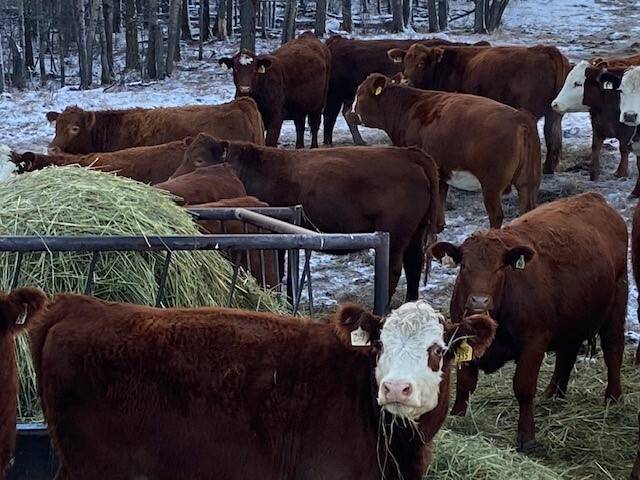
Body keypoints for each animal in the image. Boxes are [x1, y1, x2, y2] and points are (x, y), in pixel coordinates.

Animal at [172, 133, 439, 302]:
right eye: (184, 156)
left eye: (199, 160)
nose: (172, 180)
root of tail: (409, 154)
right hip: (415, 234)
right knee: (414, 266)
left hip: (396, 235)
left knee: (394, 271)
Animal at [323, 36, 489, 147]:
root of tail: (338, 41)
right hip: (333, 97)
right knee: (330, 117)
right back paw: (328, 143)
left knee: (347, 114)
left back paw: (359, 141)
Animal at [349, 74, 541, 229]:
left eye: (359, 94)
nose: (349, 114)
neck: (408, 108)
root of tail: (520, 117)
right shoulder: (442, 172)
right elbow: (440, 202)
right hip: (528, 183)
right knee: (527, 209)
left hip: (491, 185)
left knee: (496, 215)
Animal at [388, 44, 570, 174]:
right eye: (405, 63)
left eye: (421, 63)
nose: (405, 81)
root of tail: (547, 50)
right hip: (555, 113)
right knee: (553, 136)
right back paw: (548, 169)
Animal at [430, 192, 627, 453]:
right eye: (464, 265)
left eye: (501, 267)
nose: (479, 301)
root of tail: (595, 198)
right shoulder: (464, 337)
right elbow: (465, 384)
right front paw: (457, 418)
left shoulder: (535, 341)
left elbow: (523, 388)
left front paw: (526, 436)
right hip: (572, 316)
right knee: (567, 352)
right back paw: (553, 393)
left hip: (617, 299)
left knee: (613, 348)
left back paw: (613, 397)